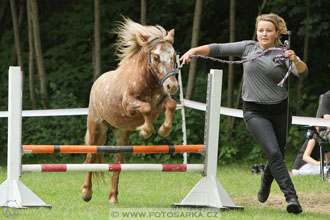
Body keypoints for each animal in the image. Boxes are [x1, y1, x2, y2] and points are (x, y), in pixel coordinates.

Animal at [81, 18, 179, 205]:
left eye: (173, 56)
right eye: (156, 57)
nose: (172, 86)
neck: (148, 81)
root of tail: (97, 83)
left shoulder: (160, 105)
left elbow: (171, 104)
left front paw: (164, 130)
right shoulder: (129, 106)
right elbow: (146, 108)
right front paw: (146, 131)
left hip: (122, 135)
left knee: (117, 163)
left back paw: (113, 197)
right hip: (96, 127)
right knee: (90, 158)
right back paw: (86, 193)